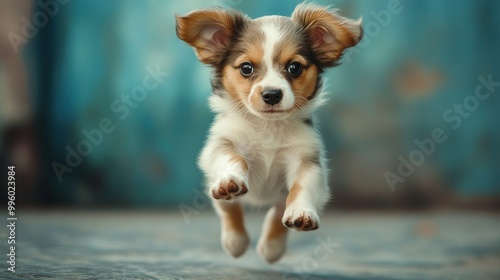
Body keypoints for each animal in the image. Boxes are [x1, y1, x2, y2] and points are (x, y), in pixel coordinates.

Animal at [177, 3, 364, 264]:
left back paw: (271, 247)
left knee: (276, 212)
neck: (268, 126)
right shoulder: (221, 144)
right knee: (228, 208)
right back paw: (235, 241)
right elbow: (233, 158)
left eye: (294, 67)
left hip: (279, 196)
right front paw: (229, 179)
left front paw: (301, 211)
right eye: (246, 68)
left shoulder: (307, 160)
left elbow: (301, 186)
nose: (272, 94)